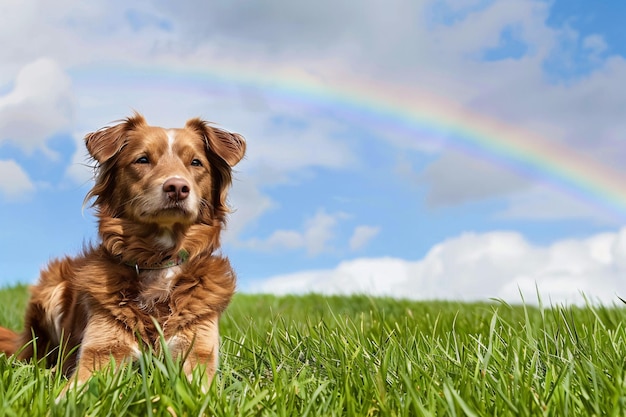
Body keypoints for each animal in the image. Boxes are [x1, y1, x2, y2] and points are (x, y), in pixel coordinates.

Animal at [0, 111, 244, 390]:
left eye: (196, 163)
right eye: (142, 159)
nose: (177, 188)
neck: (157, 262)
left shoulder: (195, 350)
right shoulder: (101, 351)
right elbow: (78, 388)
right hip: (51, 289)